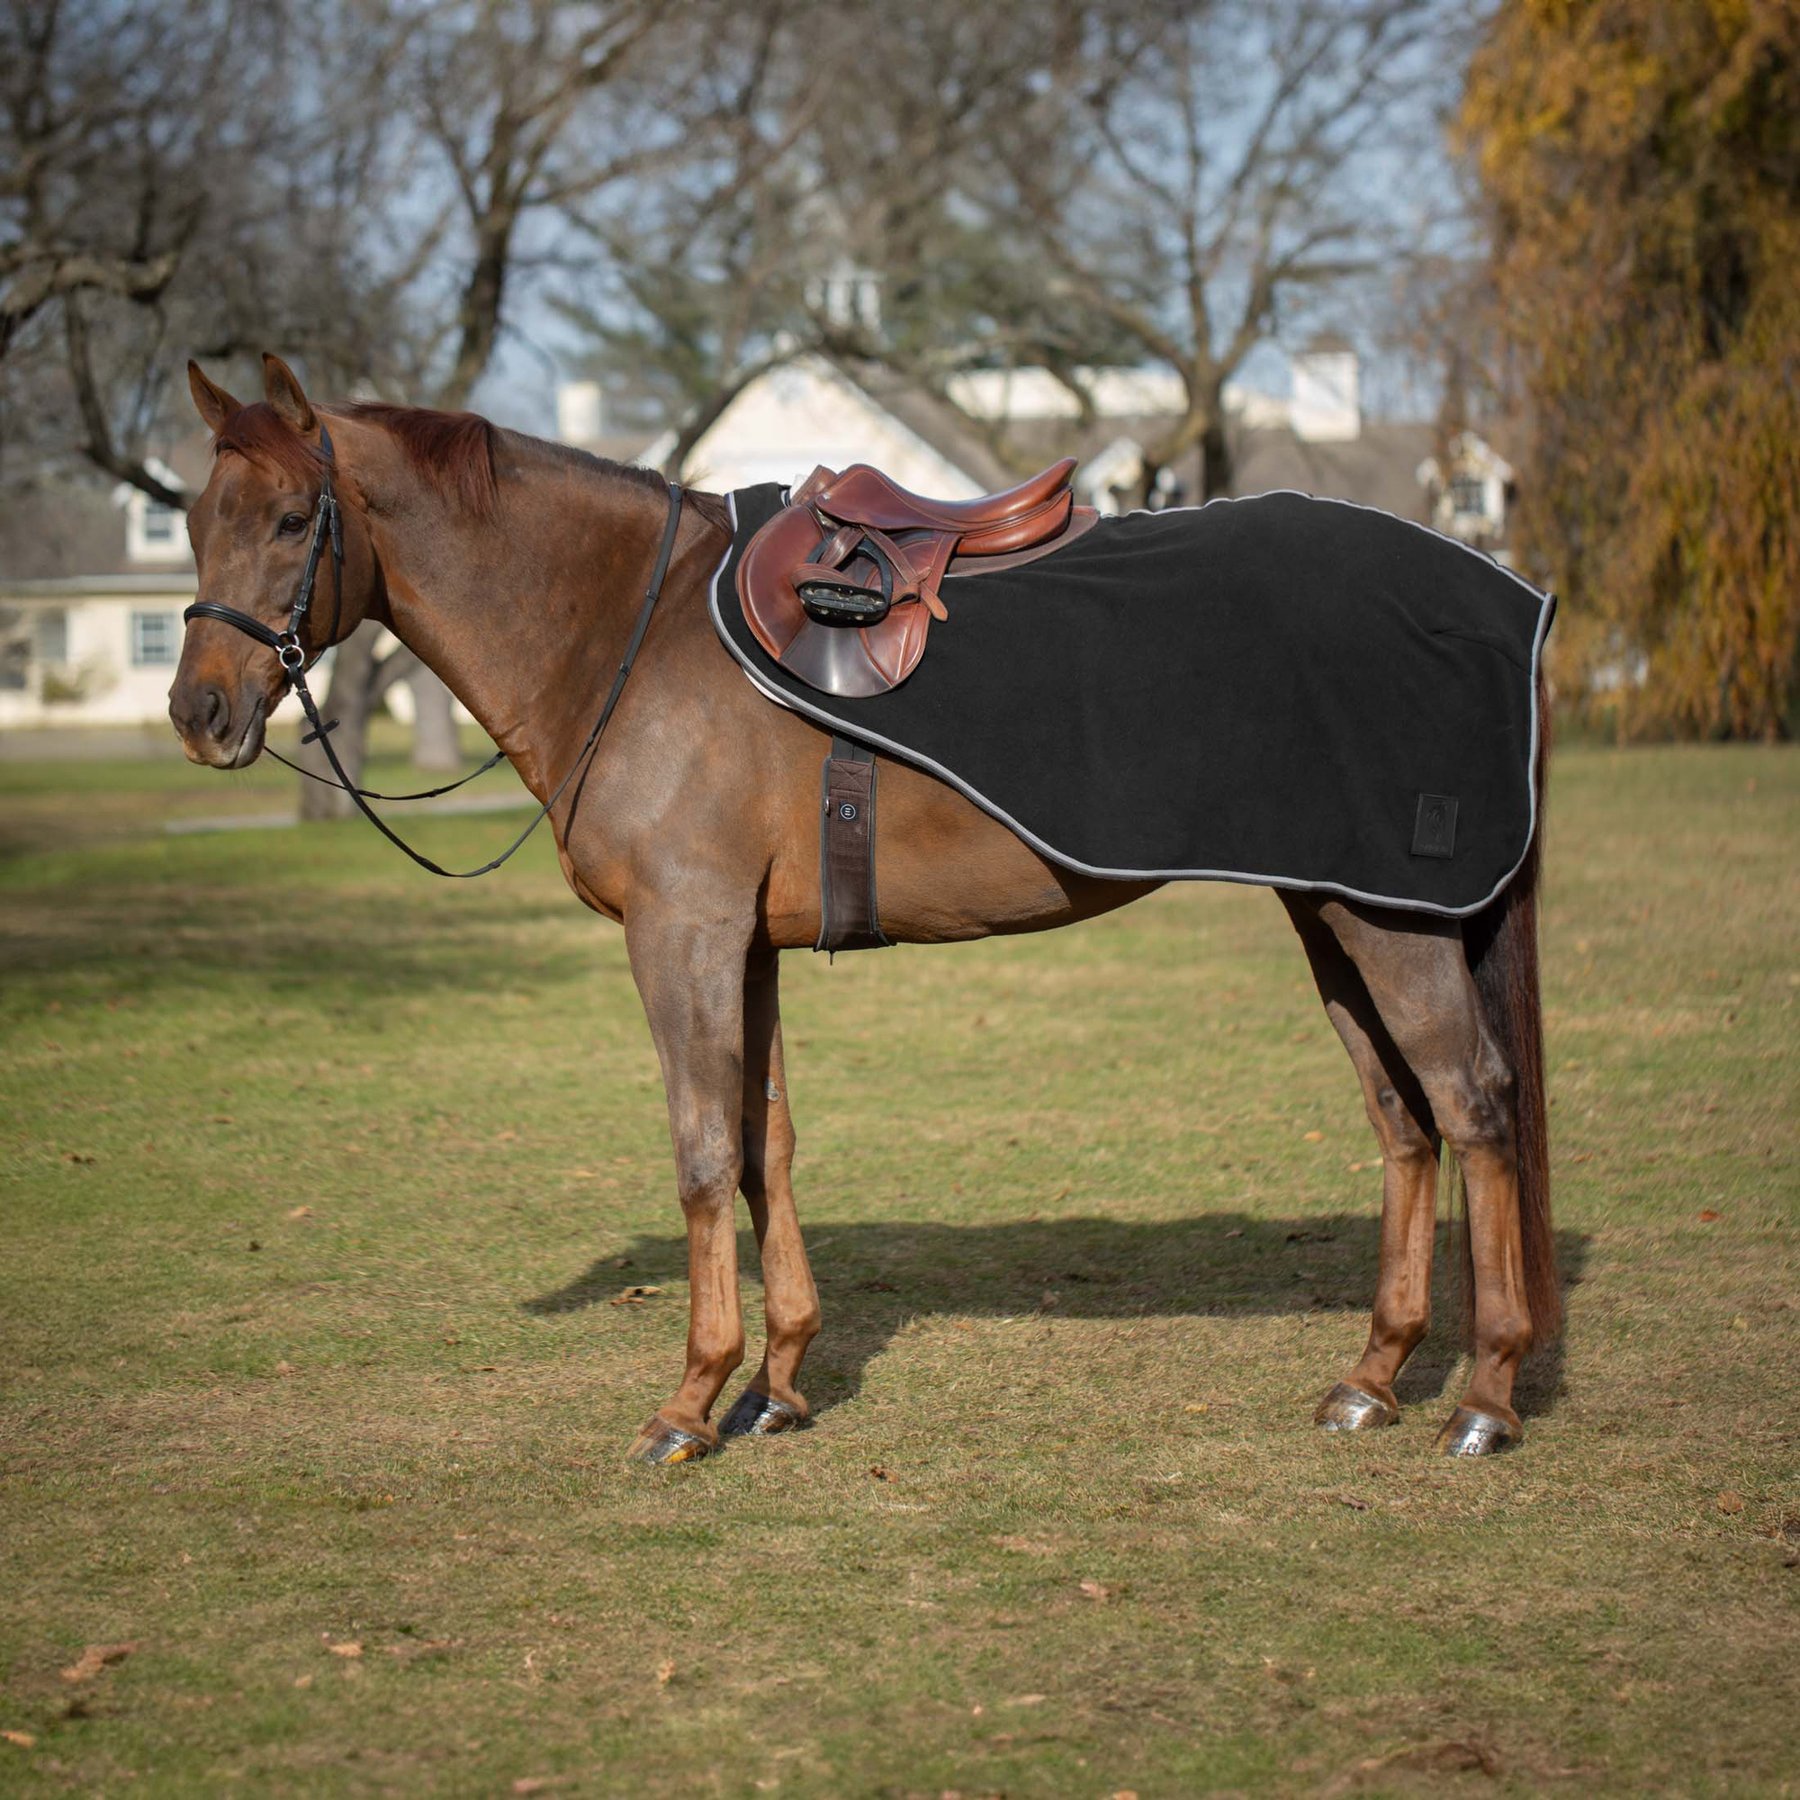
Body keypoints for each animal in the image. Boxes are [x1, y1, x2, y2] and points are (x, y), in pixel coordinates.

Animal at [167, 353, 1560, 1465]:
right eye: (191, 523)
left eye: (291, 520)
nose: (199, 712)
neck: (630, 630)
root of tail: (1503, 597)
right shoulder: (746, 946)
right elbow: (766, 1147)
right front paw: (779, 1382)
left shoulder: (682, 937)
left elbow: (701, 1155)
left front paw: (690, 1403)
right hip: (1333, 911)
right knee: (1403, 1121)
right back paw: (1372, 1377)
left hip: (1392, 922)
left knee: (1474, 1107)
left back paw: (1485, 1394)